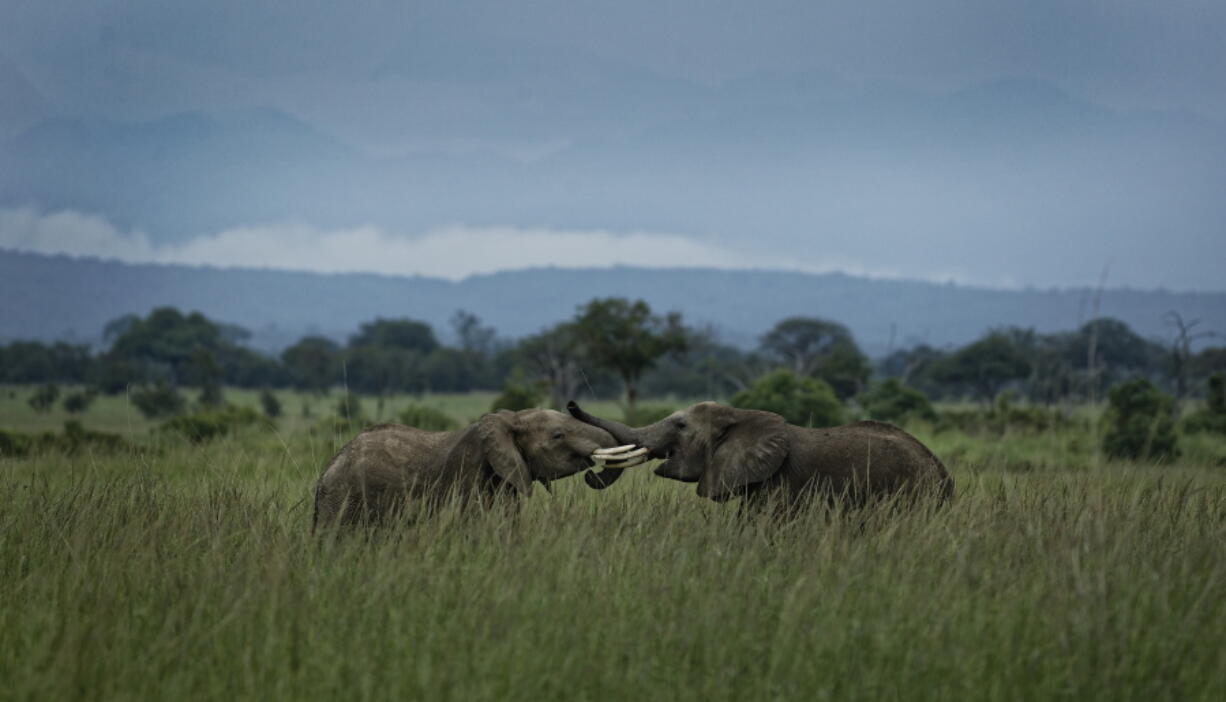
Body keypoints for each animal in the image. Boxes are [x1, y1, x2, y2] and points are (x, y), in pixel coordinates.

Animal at [311, 404, 647, 524]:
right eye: (558, 435)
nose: (593, 476)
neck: (509, 419)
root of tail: (326, 471)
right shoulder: (468, 478)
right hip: (343, 502)